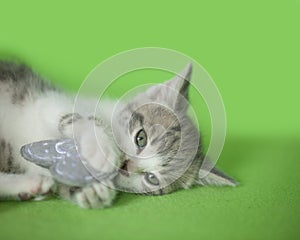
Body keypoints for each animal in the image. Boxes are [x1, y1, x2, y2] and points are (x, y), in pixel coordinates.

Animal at [0, 61, 236, 208]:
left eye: (152, 178)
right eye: (141, 138)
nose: (127, 165)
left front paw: (92, 192)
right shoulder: (47, 100)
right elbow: (76, 117)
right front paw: (101, 151)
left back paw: (29, 185)